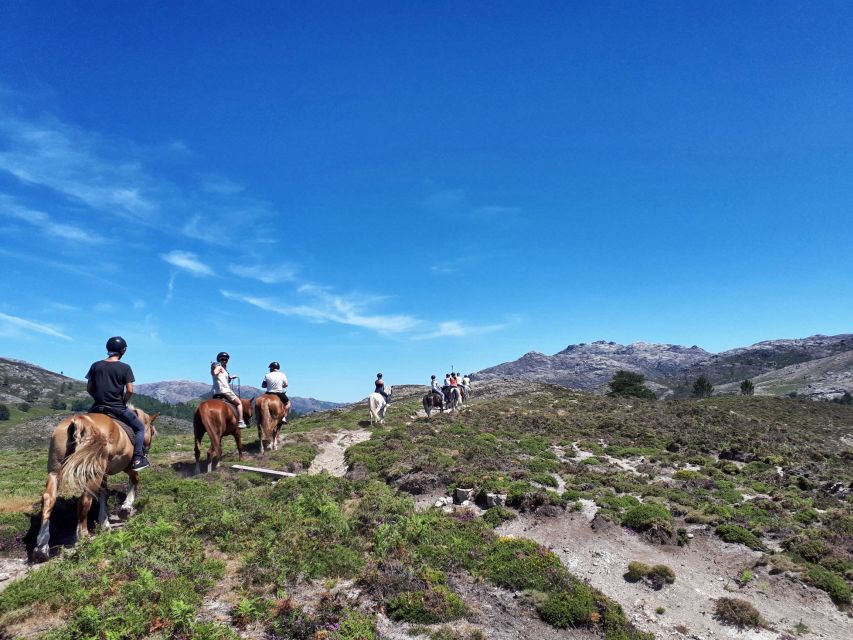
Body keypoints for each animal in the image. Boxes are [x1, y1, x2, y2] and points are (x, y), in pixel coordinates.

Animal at [33, 408, 159, 564]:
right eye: (152, 431)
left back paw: (41, 547)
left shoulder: (103, 472)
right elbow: (135, 479)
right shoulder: (128, 466)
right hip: (93, 472)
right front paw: (126, 507)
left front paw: (104, 522)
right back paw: (84, 536)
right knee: (84, 500)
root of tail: (80, 421)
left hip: (55, 471)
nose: (147, 449)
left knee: (48, 499)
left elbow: (103, 493)